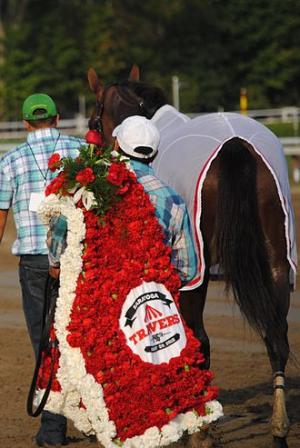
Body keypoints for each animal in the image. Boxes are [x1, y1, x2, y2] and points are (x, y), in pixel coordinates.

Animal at [86, 64, 296, 448]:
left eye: (95, 118)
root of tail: (236, 145)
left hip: (196, 267)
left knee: (202, 339)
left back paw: (200, 430)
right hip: (277, 257)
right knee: (276, 338)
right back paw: (278, 429)